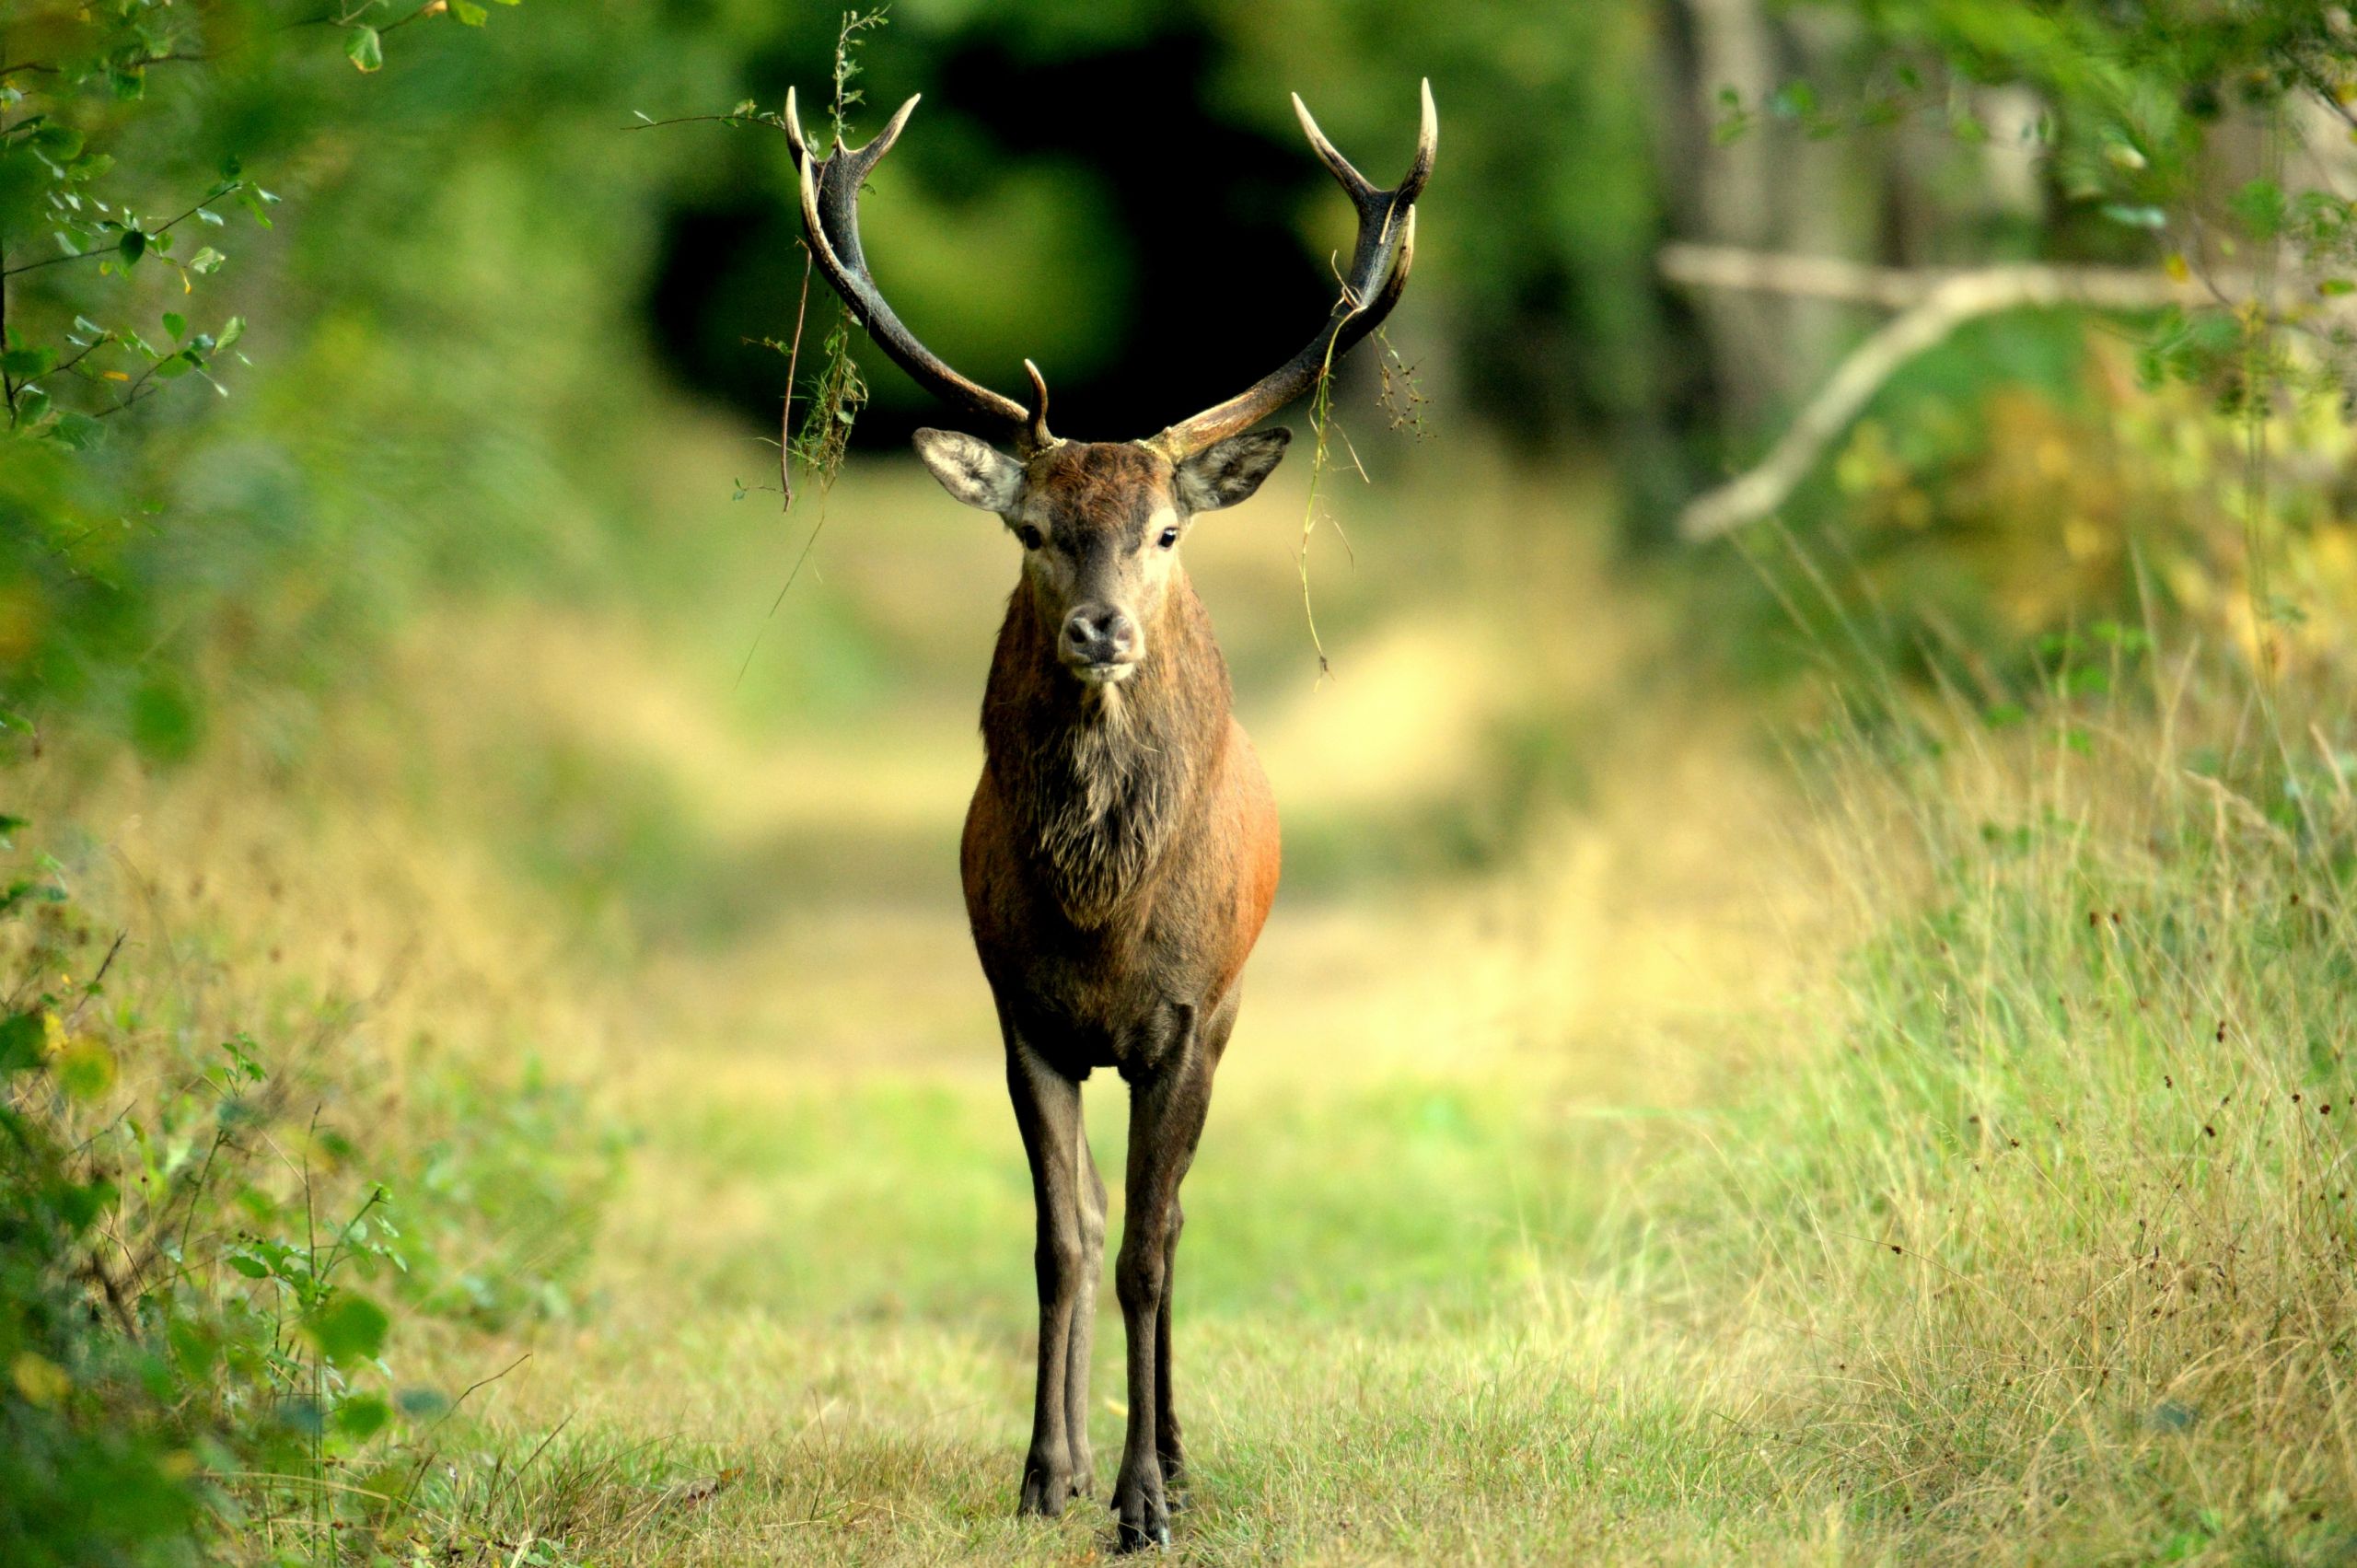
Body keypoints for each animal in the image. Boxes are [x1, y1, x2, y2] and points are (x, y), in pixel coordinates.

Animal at [782, 79, 1423, 1546]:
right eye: (1031, 529)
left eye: (1167, 532)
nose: (1101, 627)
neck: (1099, 915)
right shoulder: (1022, 1011)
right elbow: (1060, 1238)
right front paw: (1044, 1471)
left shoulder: (1183, 1015)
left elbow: (1141, 1245)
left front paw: (1142, 1503)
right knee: (1097, 1212)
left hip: (1235, 1003)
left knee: (1172, 1221)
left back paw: (1174, 1454)